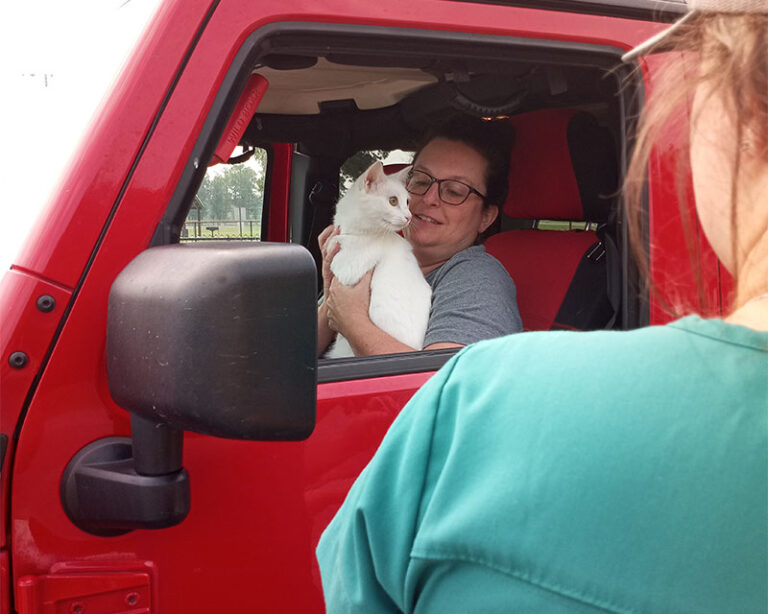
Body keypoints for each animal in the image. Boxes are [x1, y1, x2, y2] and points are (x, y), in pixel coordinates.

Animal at [324, 162, 432, 360]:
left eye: (407, 202)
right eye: (393, 201)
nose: (409, 216)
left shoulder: (347, 269)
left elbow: (334, 243)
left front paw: (332, 241)